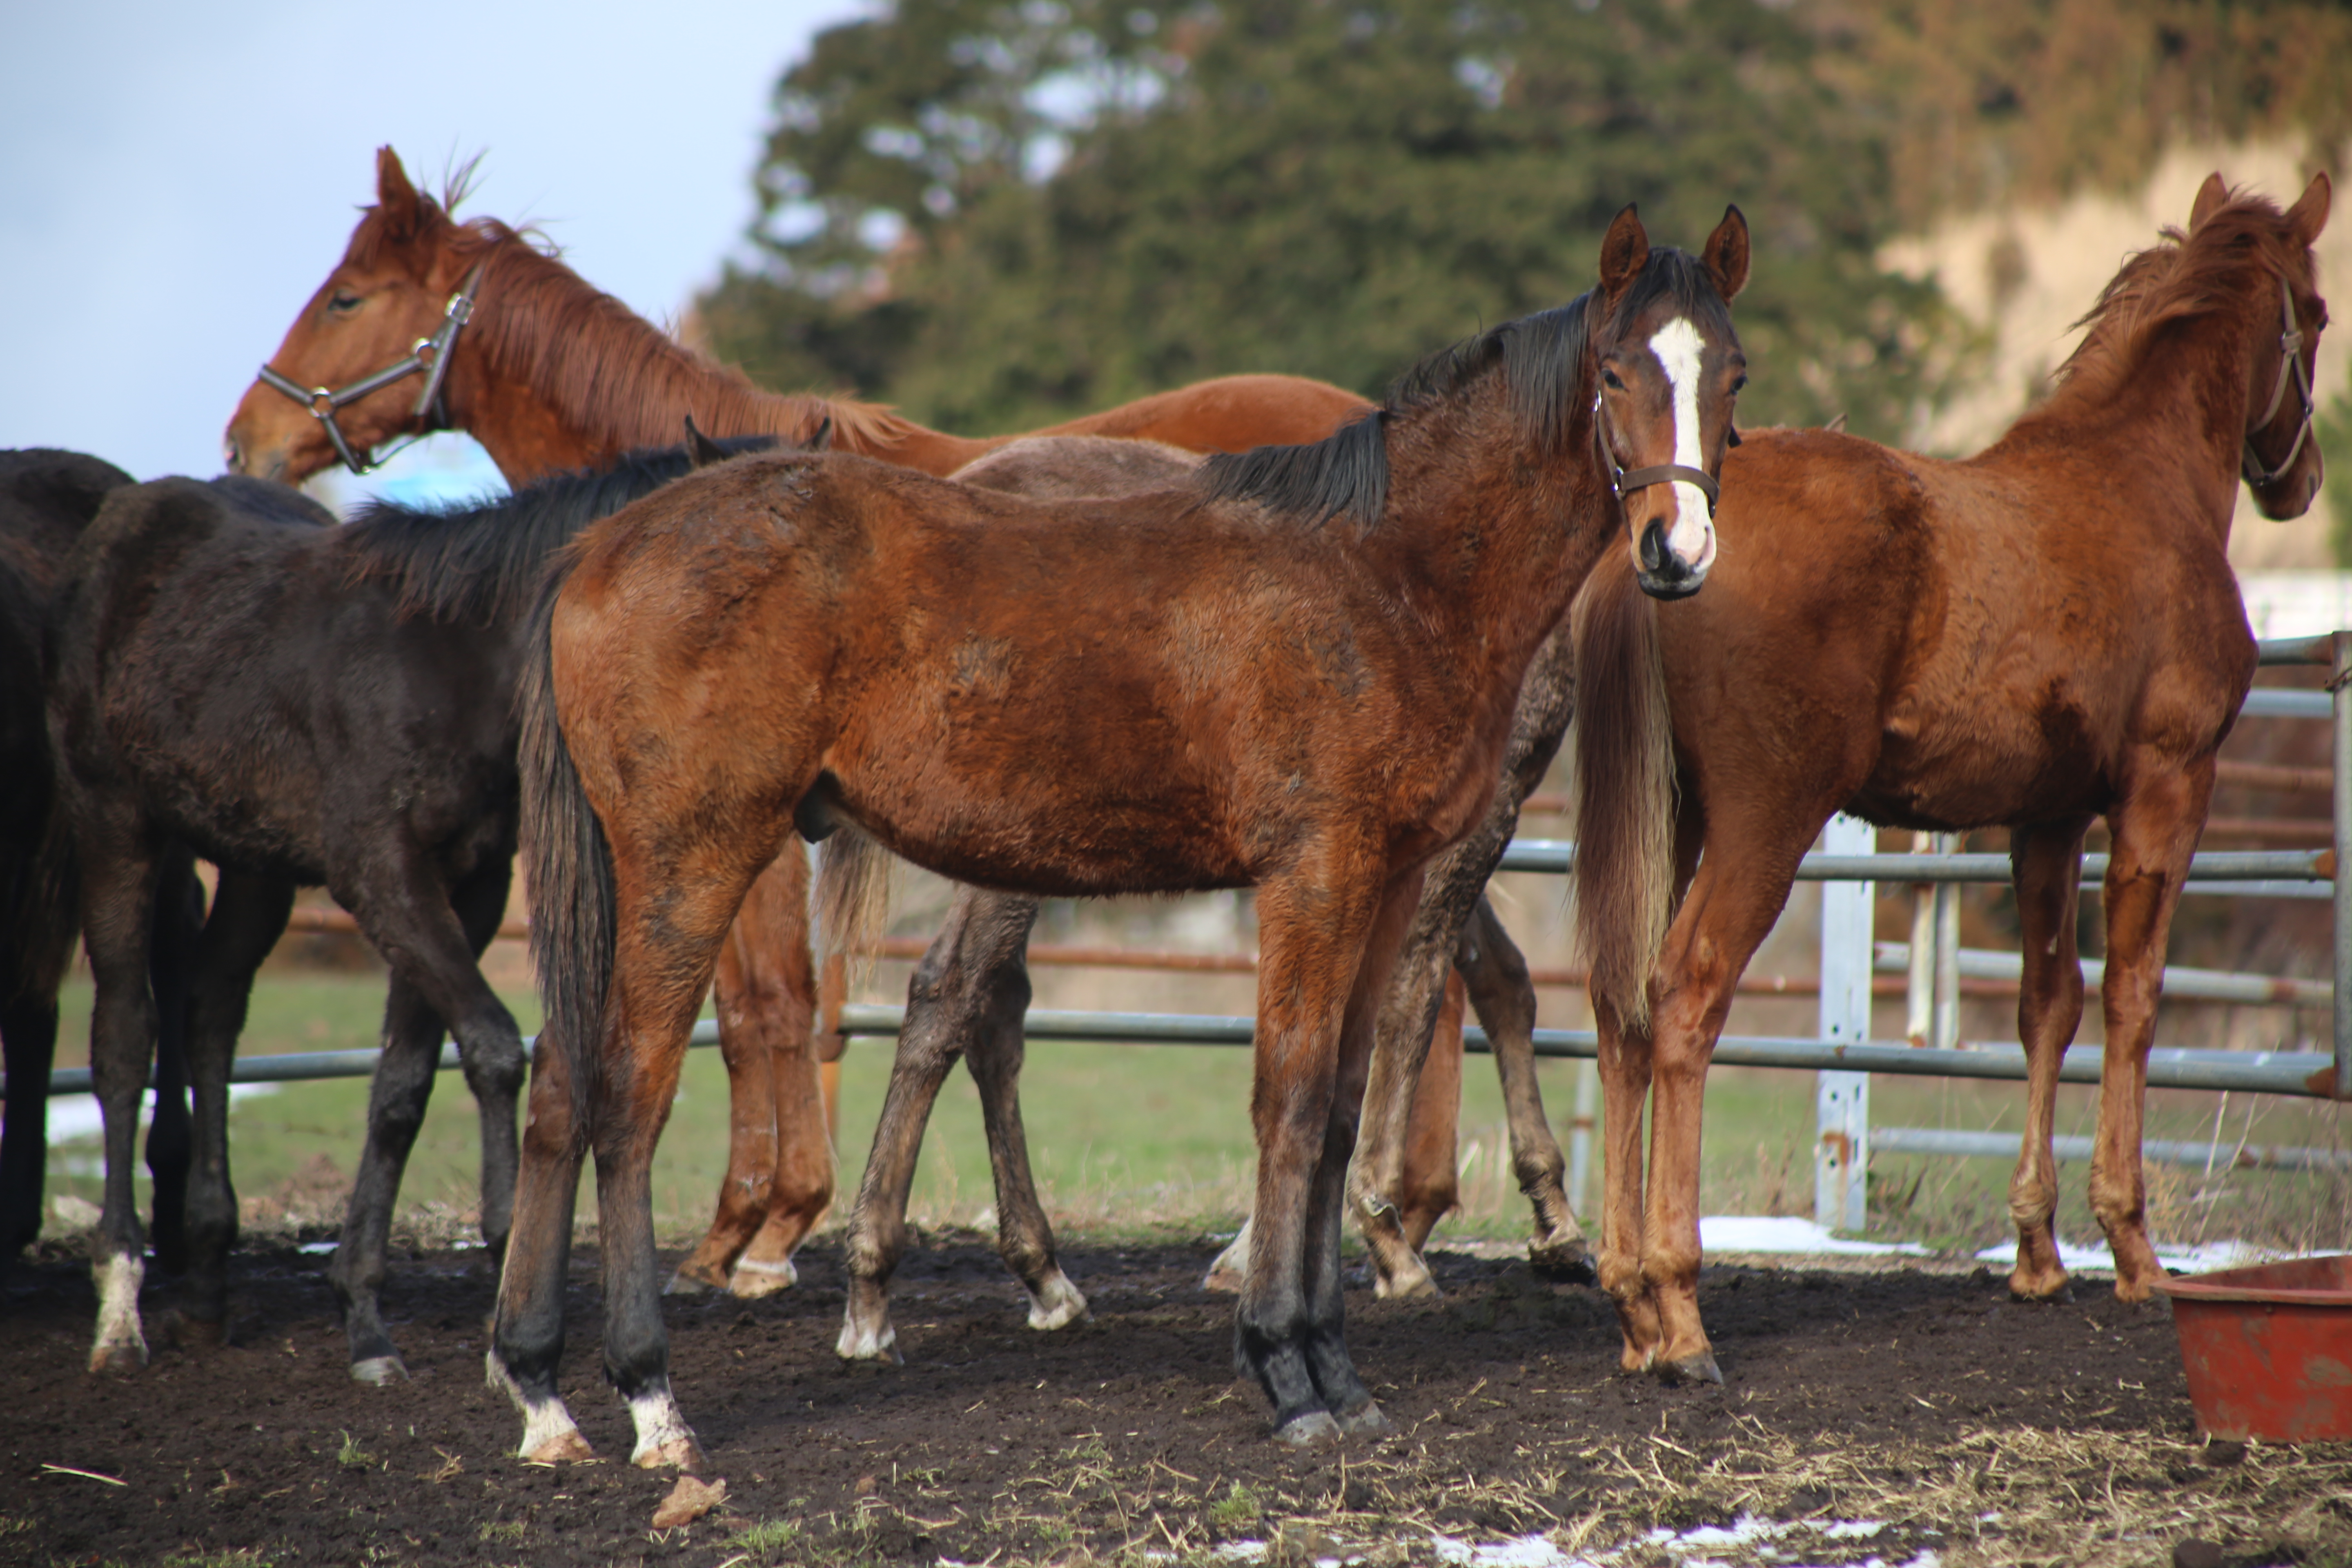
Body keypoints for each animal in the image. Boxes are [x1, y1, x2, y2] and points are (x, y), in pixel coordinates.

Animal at [43, 435, 790, 1382]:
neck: (456, 659)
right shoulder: (384, 874)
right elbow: (495, 1049)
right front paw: (504, 1267)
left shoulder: (471, 883)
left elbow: (401, 1086)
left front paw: (364, 1315)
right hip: (115, 825)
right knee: (122, 1038)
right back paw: (120, 1306)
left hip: (253, 863)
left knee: (211, 1011)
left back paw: (209, 1279)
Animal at [491, 208, 1750, 1476]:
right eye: (1612, 372)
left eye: (1730, 375)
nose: (1676, 551)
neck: (1386, 569)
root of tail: (597, 550)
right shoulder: (1311, 875)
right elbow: (1290, 1100)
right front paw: (1283, 1367)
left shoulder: (1385, 883)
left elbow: (1340, 1109)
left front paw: (1336, 1371)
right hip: (690, 861)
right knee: (631, 1093)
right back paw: (651, 1396)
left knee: (565, 1085)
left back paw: (541, 1387)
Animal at [1571, 172, 2323, 1382]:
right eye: (2317, 314)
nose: (2298, 482)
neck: (2135, 480)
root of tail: (1659, 544)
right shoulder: (2167, 790)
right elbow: (2131, 997)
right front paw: (2128, 1241)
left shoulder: (2044, 820)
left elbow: (2044, 1003)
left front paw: (2037, 1249)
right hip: (1762, 824)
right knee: (1682, 996)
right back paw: (1677, 1307)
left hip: (1671, 822)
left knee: (1620, 1009)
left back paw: (1633, 1303)